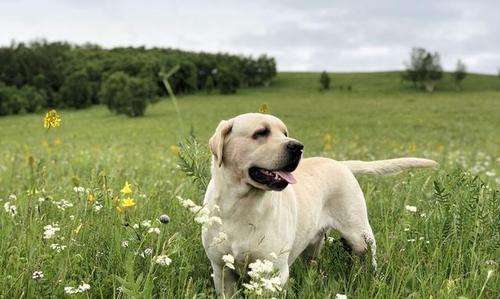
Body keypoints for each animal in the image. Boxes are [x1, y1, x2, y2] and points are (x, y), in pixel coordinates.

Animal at [201, 113, 436, 298]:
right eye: (260, 133)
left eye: (285, 133)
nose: (297, 146)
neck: (241, 204)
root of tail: (340, 163)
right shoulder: (221, 270)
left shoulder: (274, 271)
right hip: (312, 246)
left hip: (359, 235)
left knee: (370, 257)